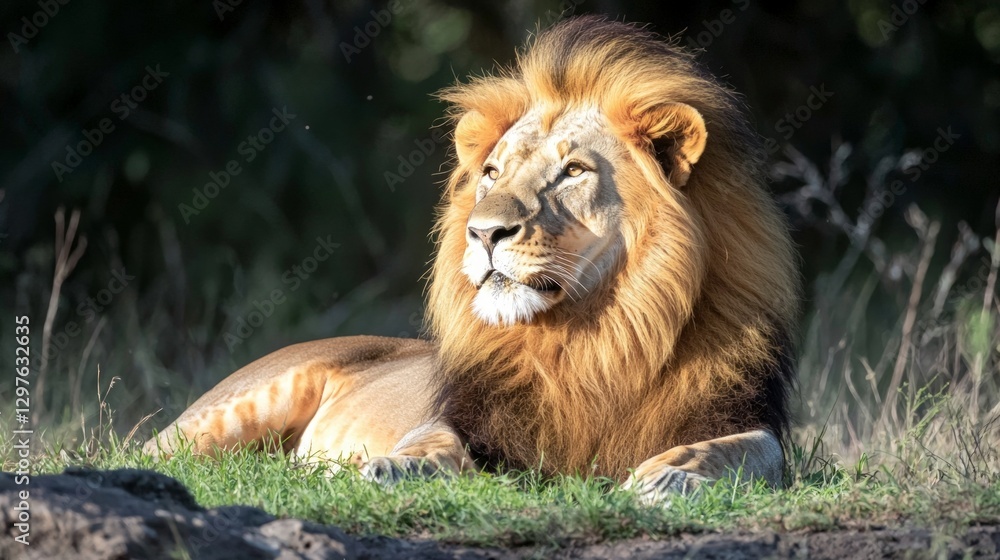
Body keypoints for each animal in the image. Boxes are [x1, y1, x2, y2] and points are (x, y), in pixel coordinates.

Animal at [144, 16, 799, 502]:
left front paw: (674, 476)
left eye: (573, 171)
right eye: (492, 173)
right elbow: (434, 442)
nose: (483, 233)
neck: (592, 336)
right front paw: (394, 467)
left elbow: (745, 452)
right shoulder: (470, 420)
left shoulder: (744, 421)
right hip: (226, 416)